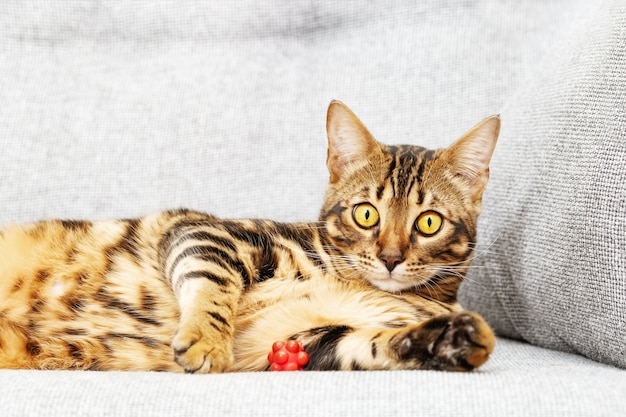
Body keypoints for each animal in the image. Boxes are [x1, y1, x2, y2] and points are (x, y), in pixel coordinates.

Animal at [0, 100, 498, 370]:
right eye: (365, 214)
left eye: (428, 222)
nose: (391, 258)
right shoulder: (206, 231)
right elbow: (214, 285)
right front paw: (207, 340)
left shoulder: (301, 343)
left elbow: (374, 344)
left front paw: (452, 340)